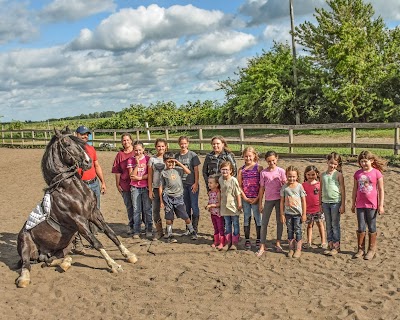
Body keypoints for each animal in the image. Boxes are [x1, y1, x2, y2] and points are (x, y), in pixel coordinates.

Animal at [16, 127, 138, 288]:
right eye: (67, 144)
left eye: (80, 143)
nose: (88, 162)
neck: (71, 190)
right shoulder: (79, 222)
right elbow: (96, 242)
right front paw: (114, 265)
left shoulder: (94, 214)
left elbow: (111, 234)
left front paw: (128, 255)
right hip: (25, 244)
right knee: (26, 265)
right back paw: (24, 279)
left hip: (63, 247)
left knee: (48, 261)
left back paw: (65, 263)